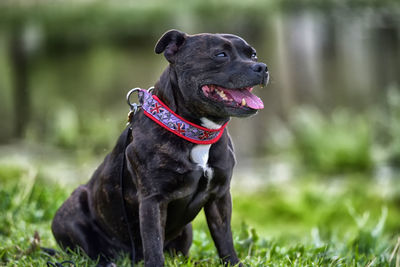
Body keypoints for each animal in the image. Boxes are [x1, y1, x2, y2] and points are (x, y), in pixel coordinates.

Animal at [50, 29, 268, 267]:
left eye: (253, 54)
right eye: (220, 55)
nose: (262, 67)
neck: (194, 131)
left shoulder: (219, 196)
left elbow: (225, 239)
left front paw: (234, 262)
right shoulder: (153, 200)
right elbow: (153, 244)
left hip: (186, 231)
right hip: (70, 212)